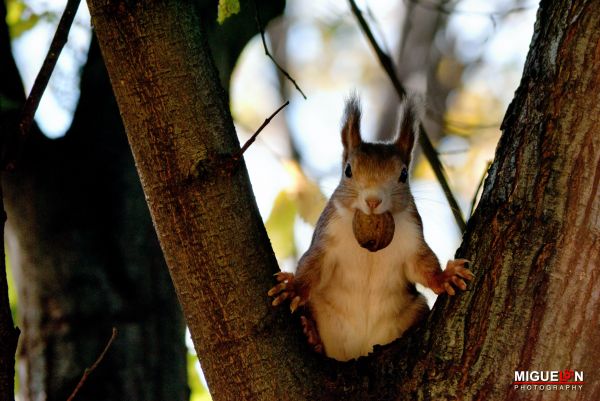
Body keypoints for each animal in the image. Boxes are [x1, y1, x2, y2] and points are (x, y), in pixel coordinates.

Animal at [268, 95, 474, 360]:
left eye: (403, 174)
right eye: (348, 170)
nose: (373, 201)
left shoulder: (412, 241)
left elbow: (423, 266)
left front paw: (446, 277)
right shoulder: (326, 240)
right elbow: (312, 266)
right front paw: (292, 289)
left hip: (414, 306)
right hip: (317, 306)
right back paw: (310, 334)